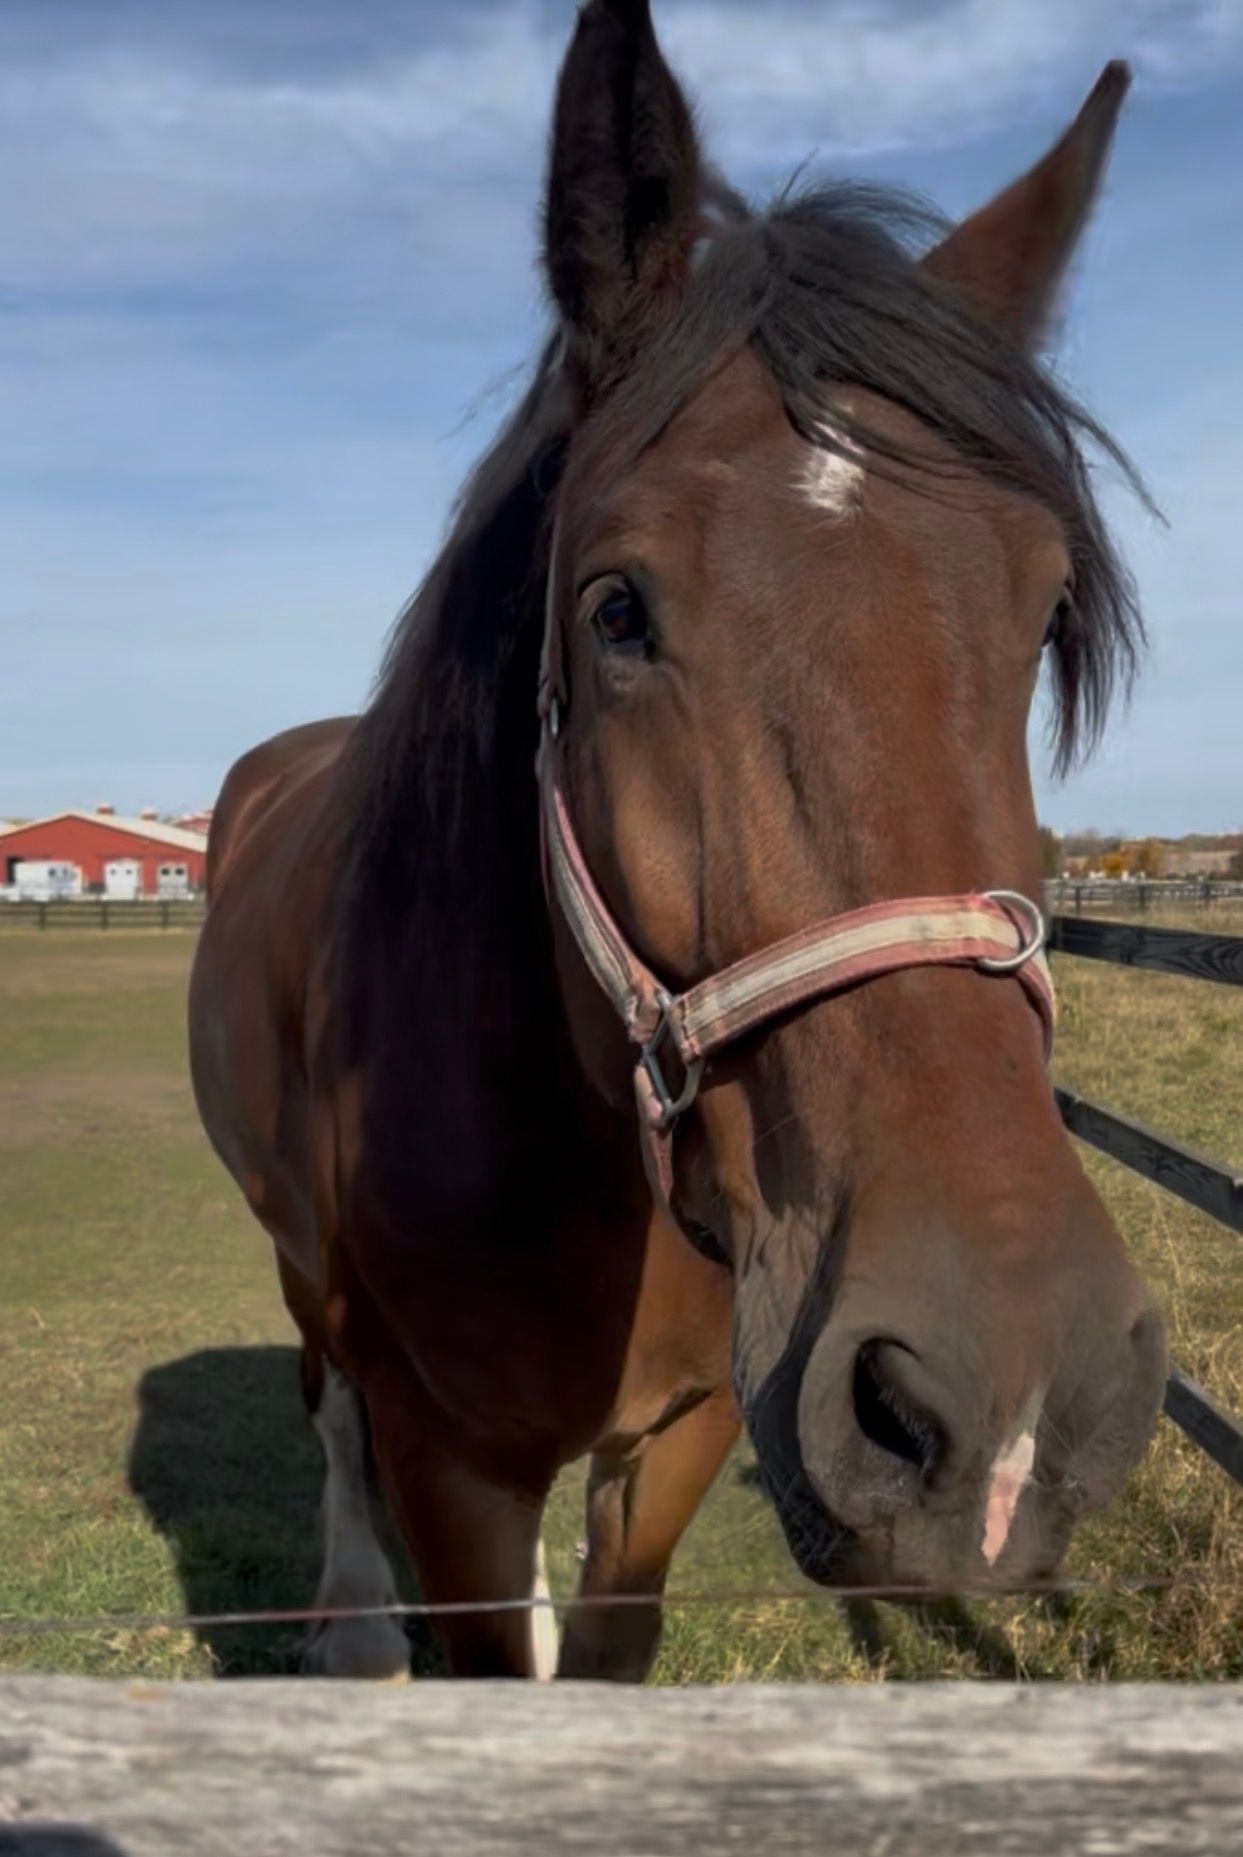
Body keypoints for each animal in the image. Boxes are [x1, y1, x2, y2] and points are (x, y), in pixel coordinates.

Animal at [189, 0, 1167, 1682]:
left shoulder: (689, 1427)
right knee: (325, 1408)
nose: (1005, 1388)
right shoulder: (449, 1467)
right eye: (614, 609)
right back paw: (353, 1623)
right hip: (296, 1263)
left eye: (1043, 610)